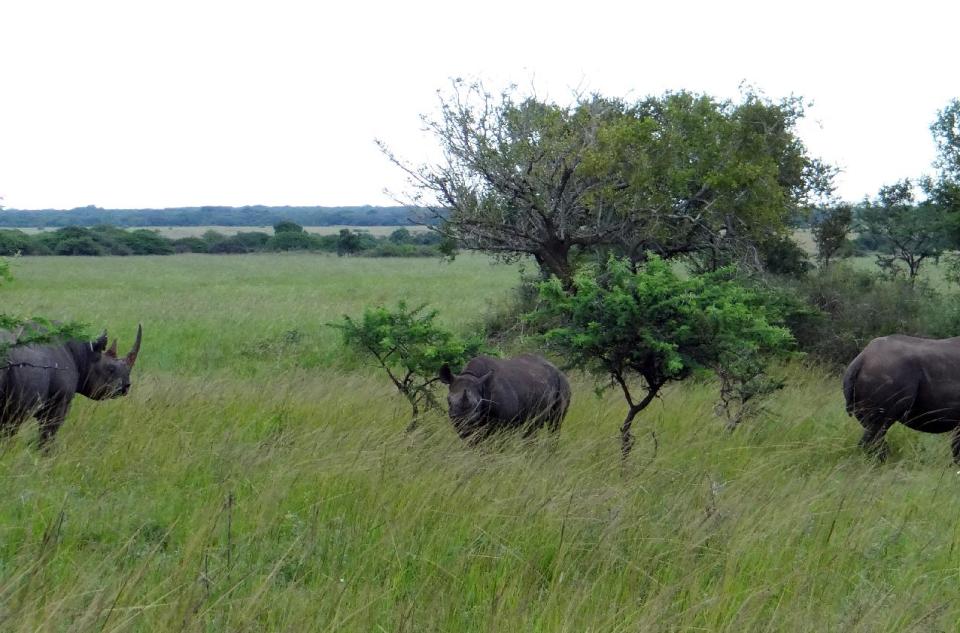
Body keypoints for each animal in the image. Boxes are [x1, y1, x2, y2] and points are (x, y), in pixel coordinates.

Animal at [440, 356, 568, 440]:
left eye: (478, 403)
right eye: (448, 400)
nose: (462, 419)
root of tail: (557, 369)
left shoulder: (503, 425)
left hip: (563, 383)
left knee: (554, 425)